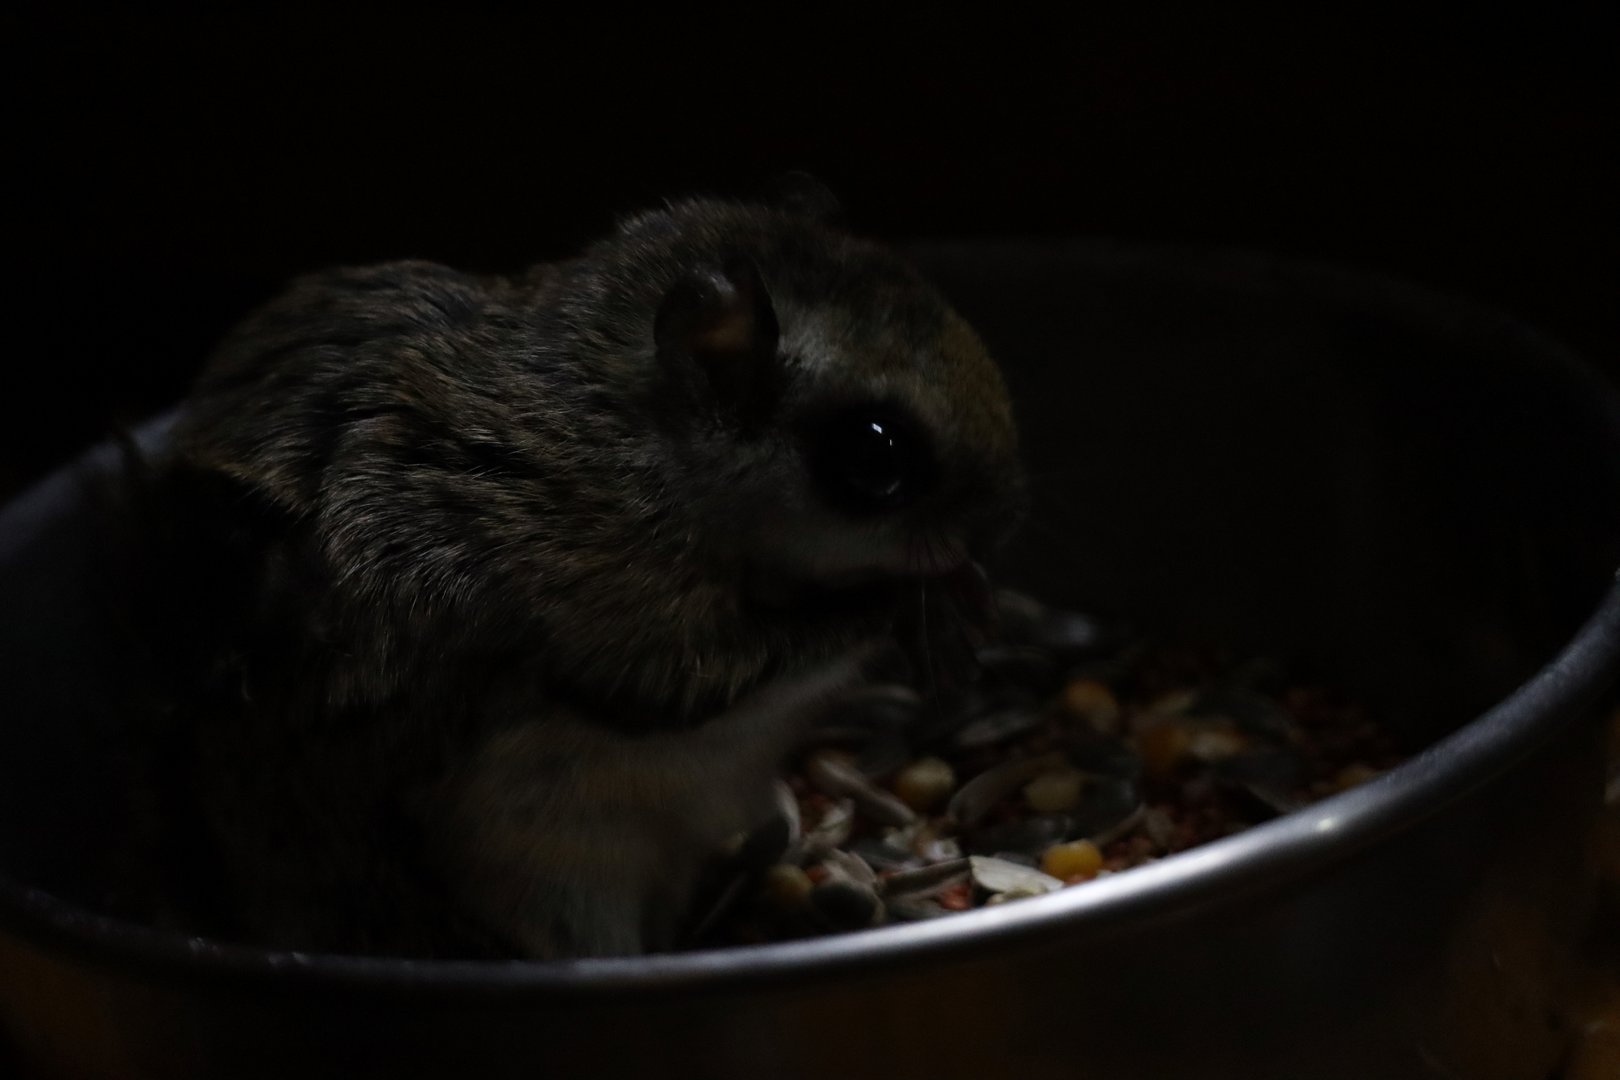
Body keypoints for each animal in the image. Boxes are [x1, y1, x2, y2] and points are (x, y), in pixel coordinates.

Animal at [118, 191, 1026, 959]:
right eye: (875, 453)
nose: (996, 521)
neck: (634, 440)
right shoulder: (602, 587)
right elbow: (713, 671)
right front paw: (920, 608)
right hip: (551, 877)